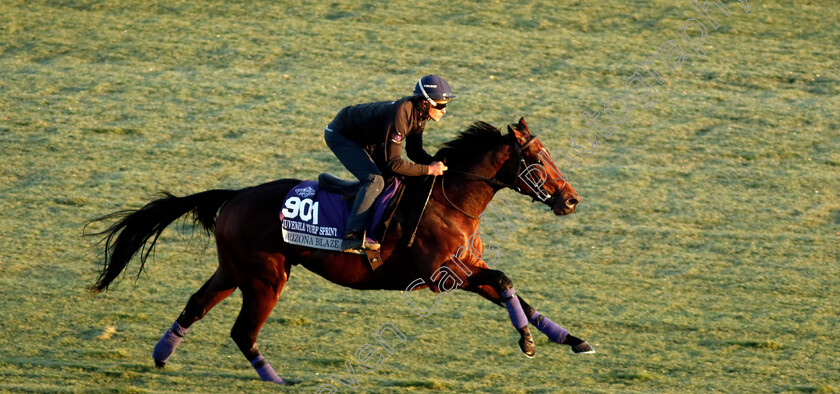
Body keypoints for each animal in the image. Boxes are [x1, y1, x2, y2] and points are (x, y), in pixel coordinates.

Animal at [88, 117, 592, 384]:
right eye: (537, 158)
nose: (570, 199)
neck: (451, 200)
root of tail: (234, 196)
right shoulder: (442, 276)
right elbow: (506, 282)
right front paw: (527, 340)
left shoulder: (468, 266)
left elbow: (515, 293)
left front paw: (569, 339)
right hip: (266, 277)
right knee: (242, 331)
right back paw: (278, 381)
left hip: (233, 270)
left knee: (196, 305)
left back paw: (162, 354)